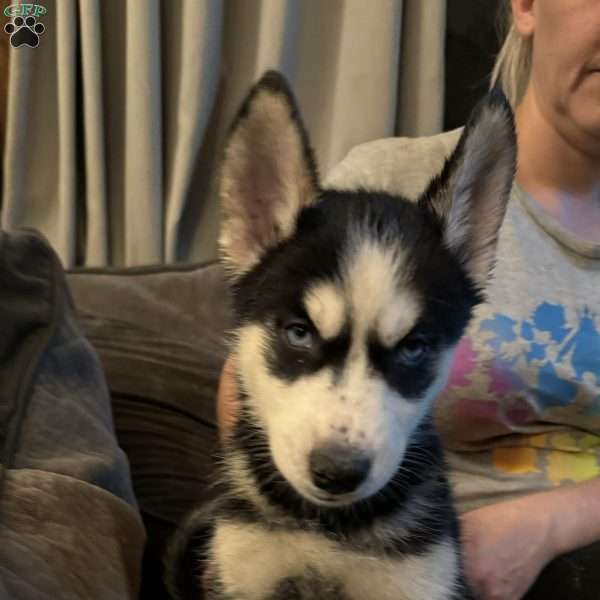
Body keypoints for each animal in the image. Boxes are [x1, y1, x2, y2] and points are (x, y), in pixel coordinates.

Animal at [166, 71, 516, 600]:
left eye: (414, 348)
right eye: (298, 333)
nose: (337, 472)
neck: (328, 531)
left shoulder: (421, 578)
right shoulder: (244, 570)